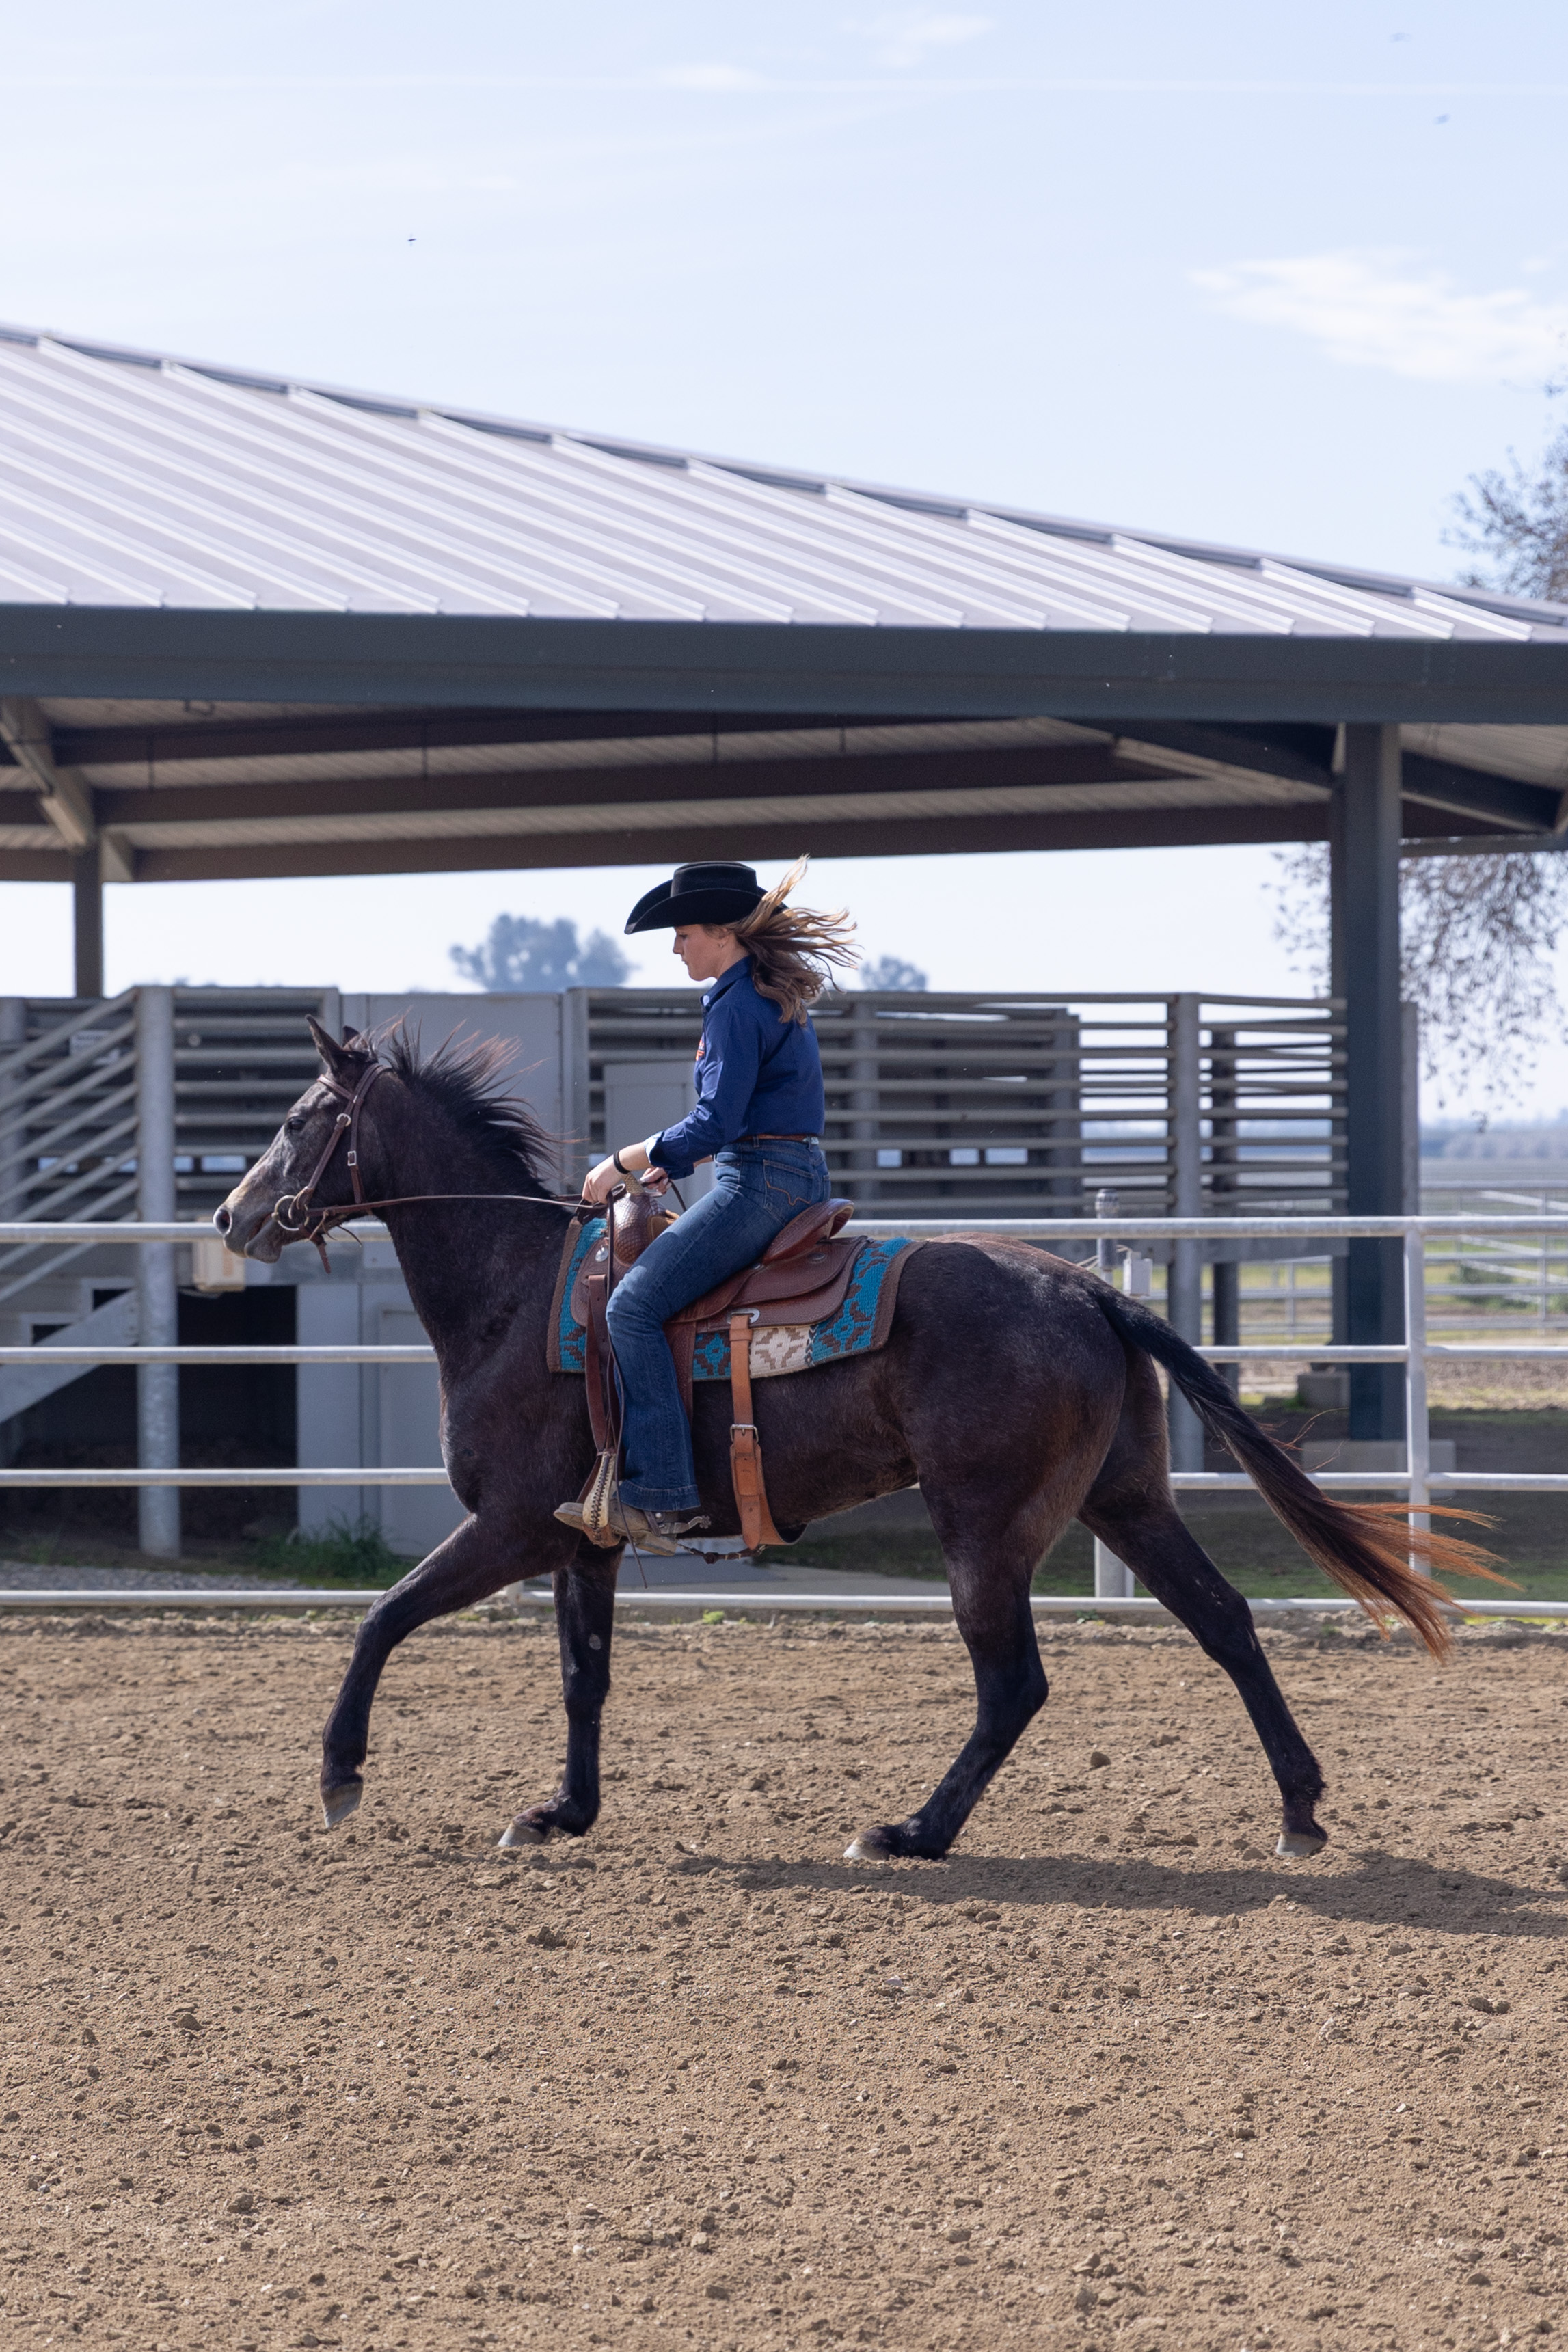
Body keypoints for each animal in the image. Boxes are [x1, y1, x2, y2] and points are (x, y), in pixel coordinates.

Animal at [215, 1018, 1493, 1866]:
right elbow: (584, 1678)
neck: (520, 1294)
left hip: (981, 1525)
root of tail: (1083, 1288)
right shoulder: (586, 1542)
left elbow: (381, 1618)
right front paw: (560, 1812)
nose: (231, 1217)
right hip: (1125, 1500)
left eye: (296, 1120)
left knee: (1013, 1683)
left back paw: (912, 1831)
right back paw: (1298, 1810)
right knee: (1223, 1622)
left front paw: (338, 1777)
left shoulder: (512, 1528)